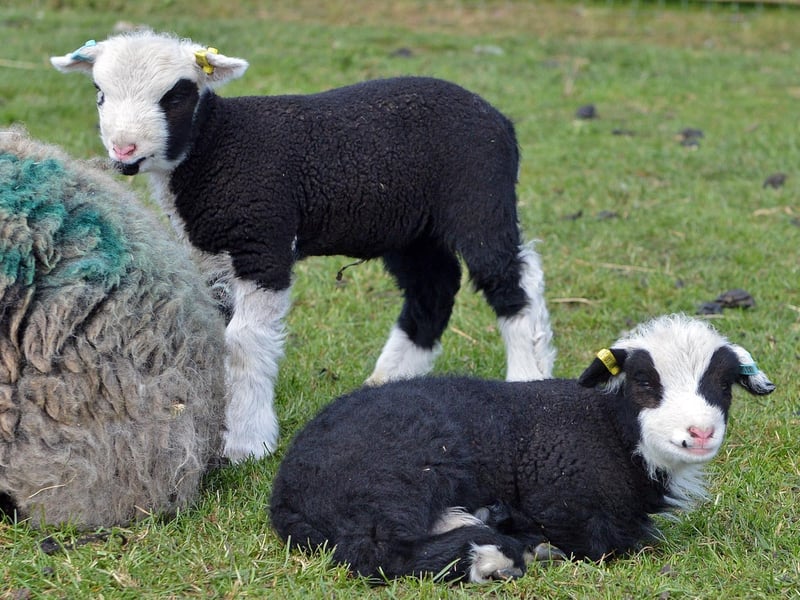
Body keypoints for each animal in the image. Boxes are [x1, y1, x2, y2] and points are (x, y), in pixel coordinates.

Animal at [50, 30, 556, 462]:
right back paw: (387, 379)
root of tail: (500, 119)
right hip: (411, 227)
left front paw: (246, 443)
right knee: (433, 289)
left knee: (511, 278)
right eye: (99, 93)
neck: (215, 146)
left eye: (175, 95)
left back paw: (528, 378)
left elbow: (243, 342)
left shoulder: (263, 240)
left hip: (479, 195)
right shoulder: (213, 254)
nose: (124, 151)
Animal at [269, 314, 775, 583]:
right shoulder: (567, 506)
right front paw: (524, 539)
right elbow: (604, 542)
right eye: (645, 383)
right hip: (402, 472)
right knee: (375, 550)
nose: (700, 433)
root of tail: (287, 491)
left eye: (723, 387)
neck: (611, 431)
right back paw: (490, 552)